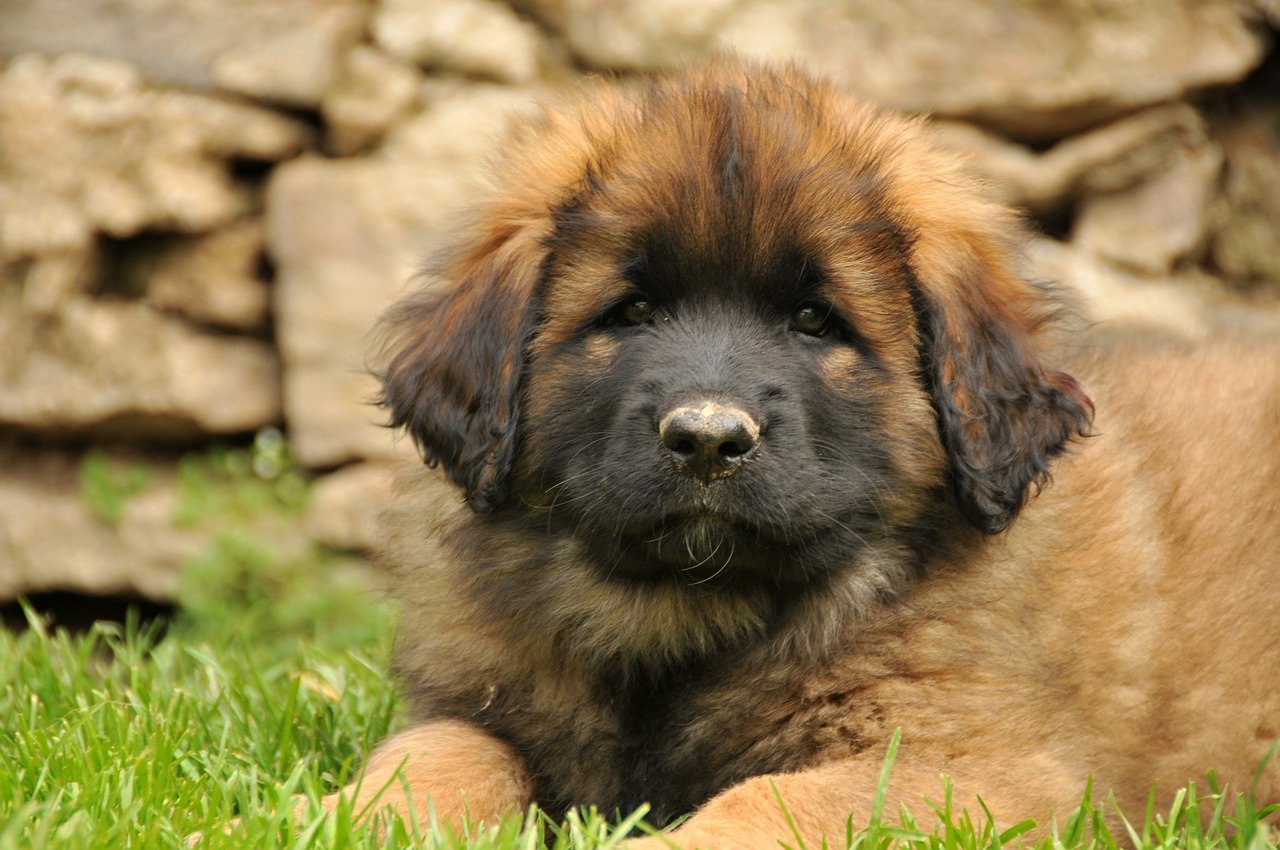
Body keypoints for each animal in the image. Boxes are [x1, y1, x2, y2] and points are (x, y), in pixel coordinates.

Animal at [332, 56, 1280, 844]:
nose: (707, 440)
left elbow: (762, 805)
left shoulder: (980, 771)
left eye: (815, 321)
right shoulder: (484, 703)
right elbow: (434, 754)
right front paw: (356, 814)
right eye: (631, 312)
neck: (689, 624)